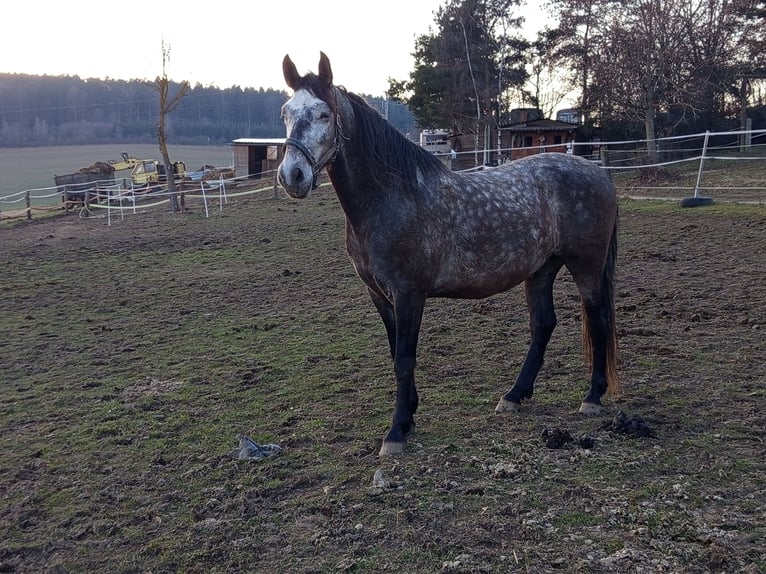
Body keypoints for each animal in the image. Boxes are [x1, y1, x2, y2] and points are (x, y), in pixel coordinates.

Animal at [277, 52, 619, 456]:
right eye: (285, 112)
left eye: (323, 114)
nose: (292, 176)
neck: (390, 197)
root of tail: (597, 172)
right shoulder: (379, 295)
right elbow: (395, 353)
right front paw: (408, 416)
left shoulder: (409, 293)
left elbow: (404, 359)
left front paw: (396, 432)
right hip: (541, 269)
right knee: (543, 325)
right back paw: (514, 395)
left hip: (587, 265)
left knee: (598, 321)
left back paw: (592, 398)